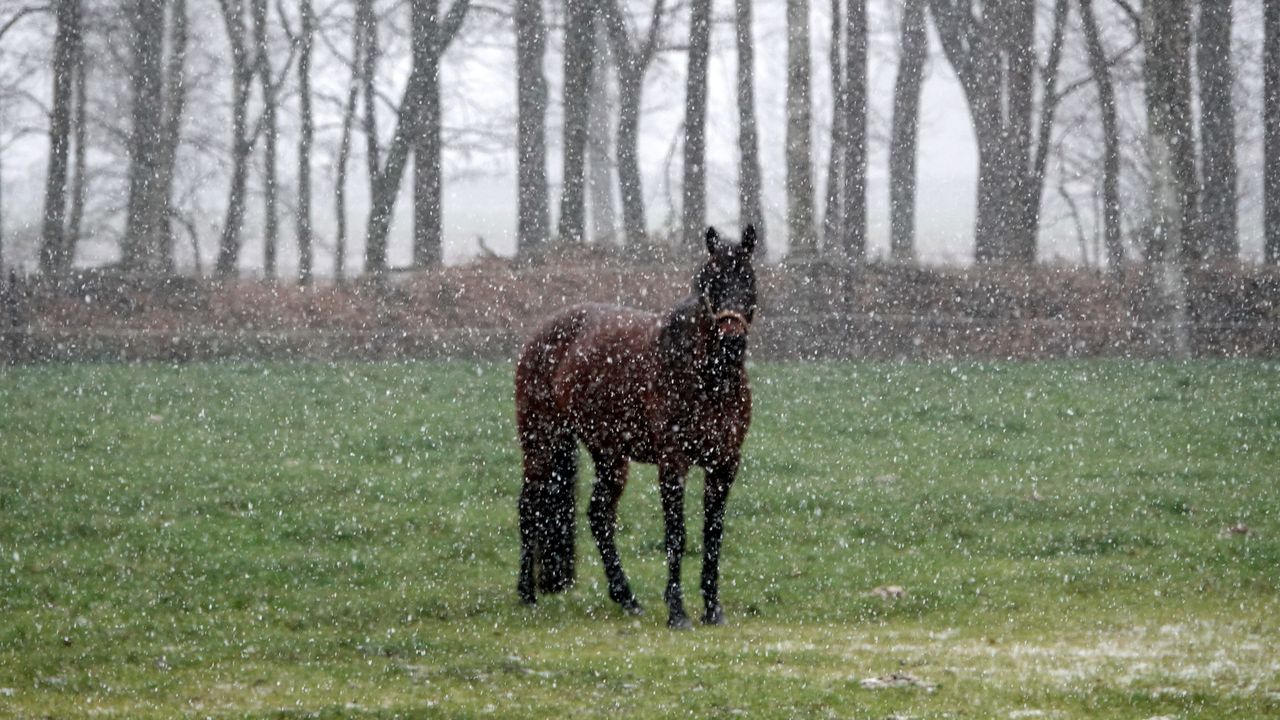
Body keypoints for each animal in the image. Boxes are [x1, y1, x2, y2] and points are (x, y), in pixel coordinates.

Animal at [515, 225, 758, 629]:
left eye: (749, 280)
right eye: (710, 283)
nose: (731, 339)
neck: (706, 376)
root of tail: (540, 334)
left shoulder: (724, 464)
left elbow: (713, 535)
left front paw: (713, 609)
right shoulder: (673, 463)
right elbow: (676, 534)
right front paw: (677, 612)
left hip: (610, 456)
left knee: (599, 516)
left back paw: (626, 598)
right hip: (542, 444)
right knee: (529, 508)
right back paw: (526, 595)